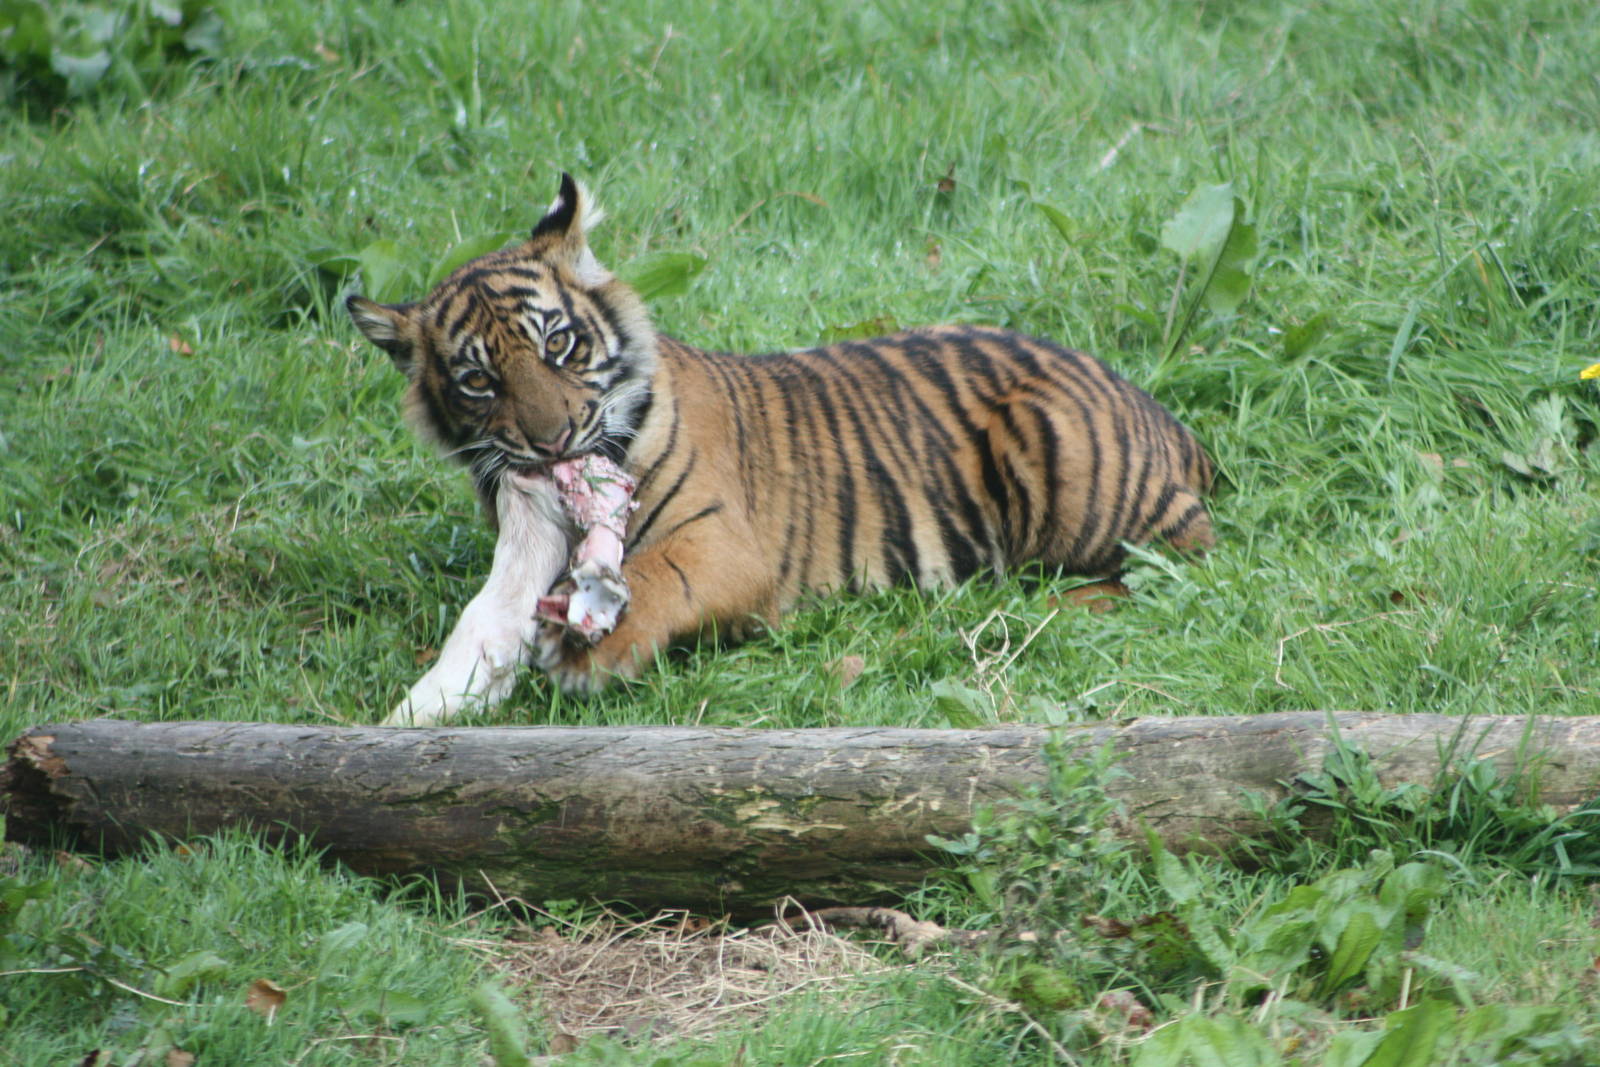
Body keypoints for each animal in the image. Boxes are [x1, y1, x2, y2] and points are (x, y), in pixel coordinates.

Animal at [348, 174, 1214, 725]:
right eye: (478, 380)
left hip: (1064, 453)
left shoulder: (727, 541)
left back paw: (1041, 601)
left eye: (558, 343)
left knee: (1176, 564)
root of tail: (1164, 416)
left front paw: (591, 652)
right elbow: (483, 621)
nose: (552, 438)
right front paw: (417, 716)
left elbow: (657, 572)